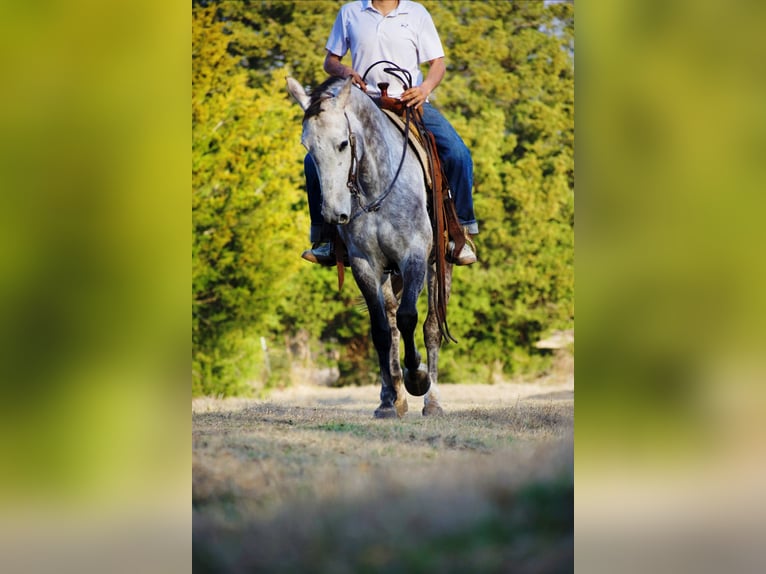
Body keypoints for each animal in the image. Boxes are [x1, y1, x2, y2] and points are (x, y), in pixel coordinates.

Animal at [287, 75, 451, 418]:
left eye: (343, 143)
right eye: (308, 147)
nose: (333, 214)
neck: (376, 190)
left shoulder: (414, 257)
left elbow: (410, 318)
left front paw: (417, 378)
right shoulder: (365, 265)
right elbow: (381, 330)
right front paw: (389, 401)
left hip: (440, 267)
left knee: (430, 326)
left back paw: (432, 401)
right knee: (390, 321)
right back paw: (394, 397)